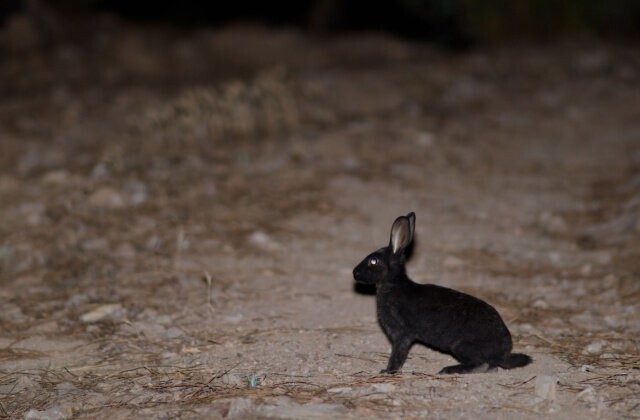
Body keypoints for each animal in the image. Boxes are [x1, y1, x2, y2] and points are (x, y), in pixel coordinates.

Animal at [352, 213, 532, 374]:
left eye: (373, 261)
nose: (355, 273)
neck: (393, 285)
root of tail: (503, 352)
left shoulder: (402, 334)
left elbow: (398, 354)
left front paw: (387, 371)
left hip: (460, 346)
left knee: (481, 364)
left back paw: (448, 370)